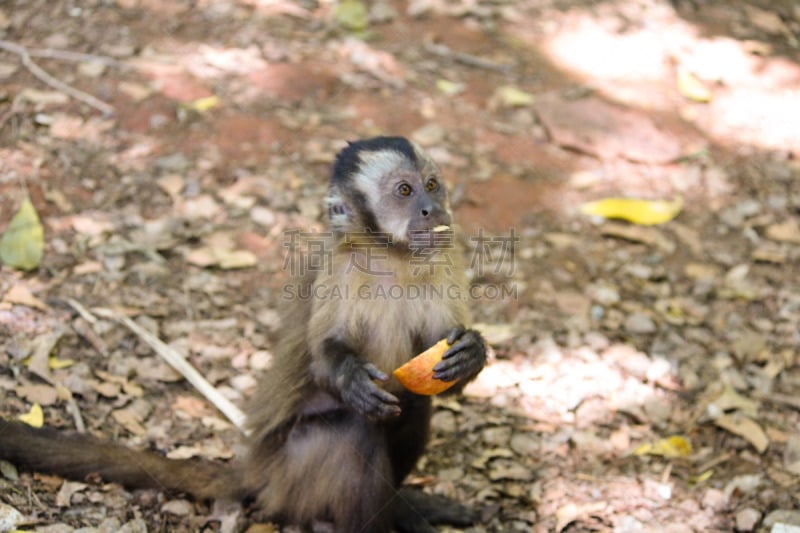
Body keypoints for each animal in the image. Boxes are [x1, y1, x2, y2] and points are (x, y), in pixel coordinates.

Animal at [0, 138, 488, 532]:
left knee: (413, 404)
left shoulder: (443, 258)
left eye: (432, 184)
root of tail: (257, 472)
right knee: (355, 432)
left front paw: (470, 353)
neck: (390, 256)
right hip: (291, 478)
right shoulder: (340, 269)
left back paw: (402, 505)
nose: (432, 209)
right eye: (404, 191)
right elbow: (323, 358)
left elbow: (438, 361)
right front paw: (347, 376)